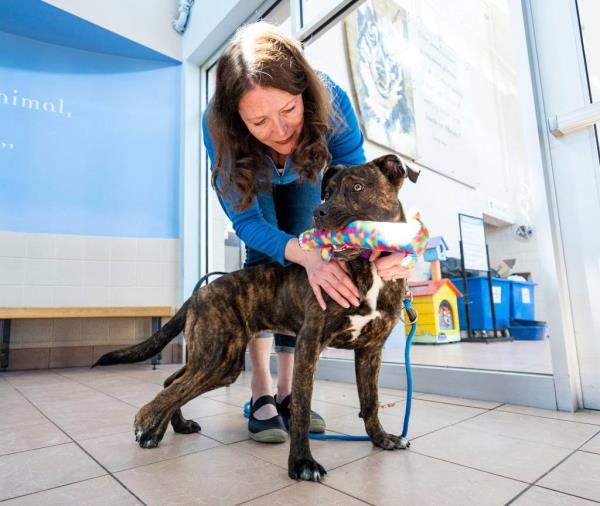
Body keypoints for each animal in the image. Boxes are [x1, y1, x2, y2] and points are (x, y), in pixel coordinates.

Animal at [96, 155, 420, 482]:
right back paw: (146, 421)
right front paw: (302, 463)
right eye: (326, 192)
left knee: (172, 381)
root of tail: (200, 293)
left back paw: (166, 428)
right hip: (219, 360)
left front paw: (381, 439)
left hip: (212, 357)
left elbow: (371, 402)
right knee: (174, 386)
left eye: (357, 187)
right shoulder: (309, 344)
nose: (318, 212)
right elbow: (301, 409)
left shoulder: (370, 351)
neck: (369, 270)